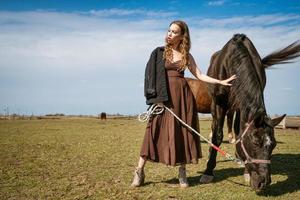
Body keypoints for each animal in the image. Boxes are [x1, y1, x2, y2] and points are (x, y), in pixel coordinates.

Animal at [192, 33, 300, 191]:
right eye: (255, 143)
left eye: (273, 144)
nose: (263, 182)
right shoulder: (219, 103)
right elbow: (218, 135)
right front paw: (208, 172)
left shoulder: (240, 104)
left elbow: (239, 132)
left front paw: (245, 169)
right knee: (215, 128)